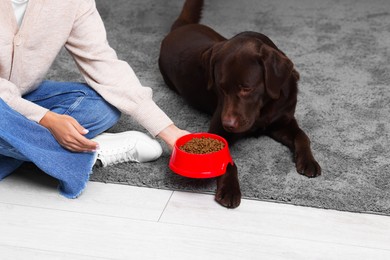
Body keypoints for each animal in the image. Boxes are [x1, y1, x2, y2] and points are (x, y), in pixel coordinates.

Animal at [158, 0, 320, 207]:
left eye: (246, 88)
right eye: (221, 87)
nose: (228, 124)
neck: (264, 108)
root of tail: (181, 27)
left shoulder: (282, 122)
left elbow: (302, 136)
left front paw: (309, 161)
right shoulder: (219, 128)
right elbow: (226, 159)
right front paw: (229, 189)